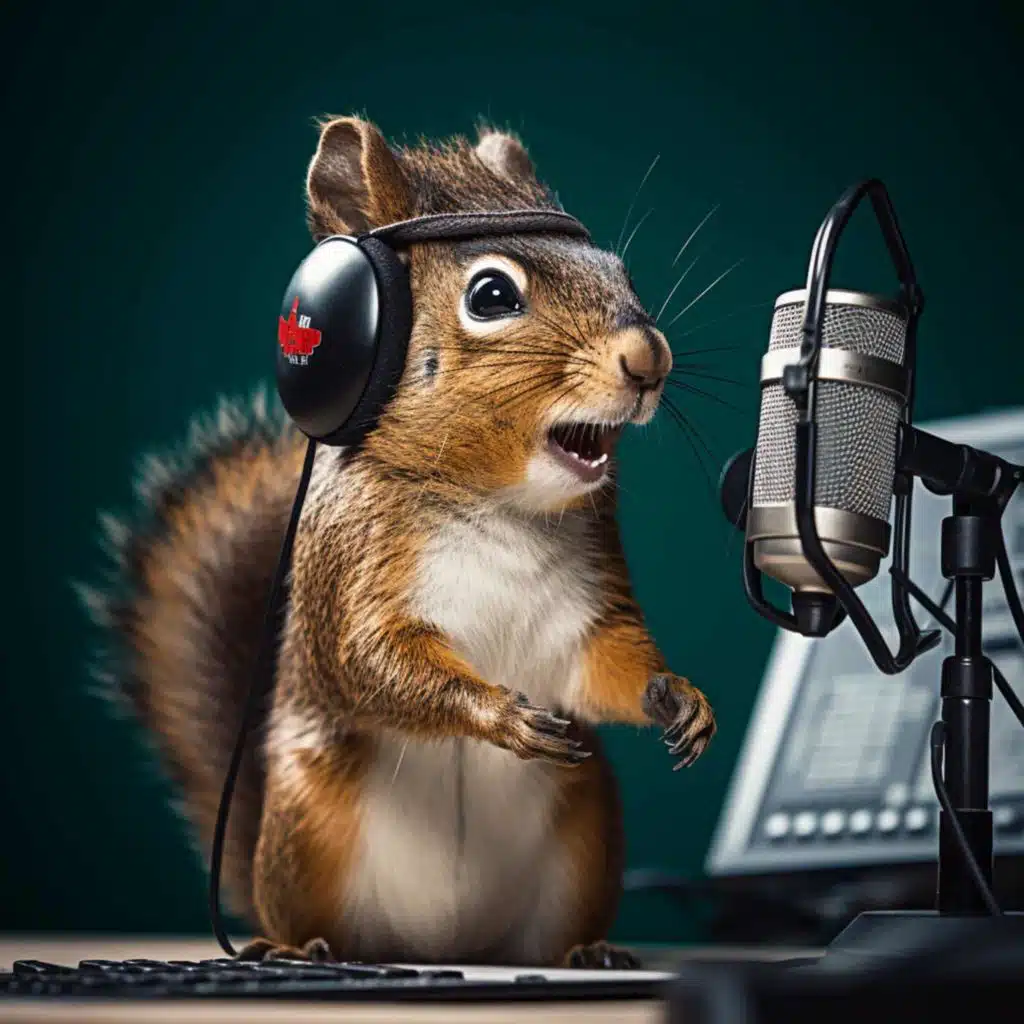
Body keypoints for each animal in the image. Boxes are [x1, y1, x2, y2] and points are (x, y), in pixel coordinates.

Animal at [83, 115, 716, 970]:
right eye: (492, 295)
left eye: (621, 272)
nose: (649, 358)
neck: (500, 507)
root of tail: (447, 945)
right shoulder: (351, 568)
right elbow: (369, 661)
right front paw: (498, 715)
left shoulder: (591, 587)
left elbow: (605, 662)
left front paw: (677, 695)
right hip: (308, 822)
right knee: (299, 913)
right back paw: (299, 948)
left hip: (588, 825)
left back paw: (587, 953)